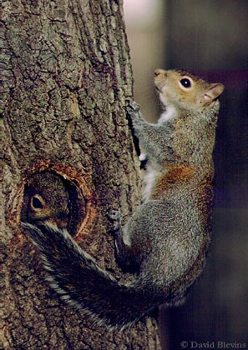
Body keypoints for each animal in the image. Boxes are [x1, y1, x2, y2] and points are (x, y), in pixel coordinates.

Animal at [21, 69, 225, 330]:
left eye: (185, 83)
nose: (157, 72)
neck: (198, 119)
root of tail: (160, 287)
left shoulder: (180, 142)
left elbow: (155, 141)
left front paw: (134, 113)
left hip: (153, 218)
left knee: (129, 257)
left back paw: (118, 231)